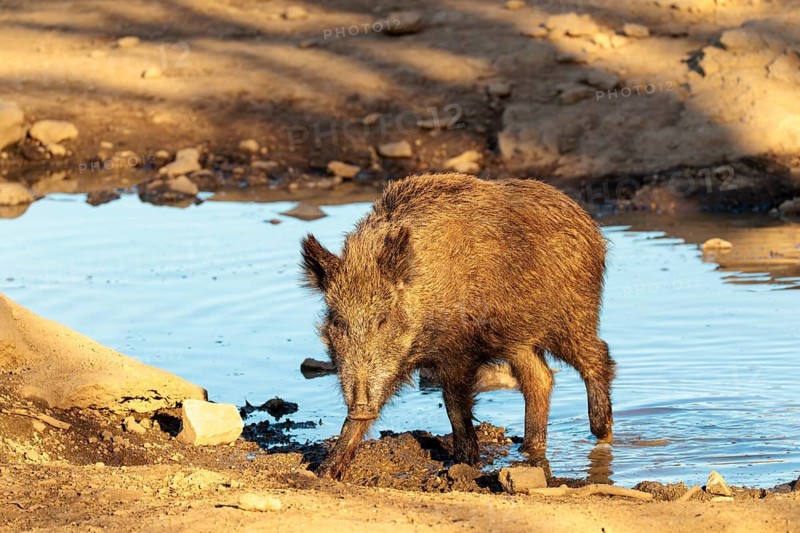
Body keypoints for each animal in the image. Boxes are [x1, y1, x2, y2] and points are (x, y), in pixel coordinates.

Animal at [301, 173, 615, 480]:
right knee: (539, 378)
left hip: (572, 317)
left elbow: (455, 405)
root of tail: (590, 225)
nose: (359, 406)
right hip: (518, 340)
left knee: (598, 356)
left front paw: (462, 465)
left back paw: (602, 434)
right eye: (338, 320)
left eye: (383, 319)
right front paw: (324, 473)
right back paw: (528, 449)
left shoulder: (458, 352)